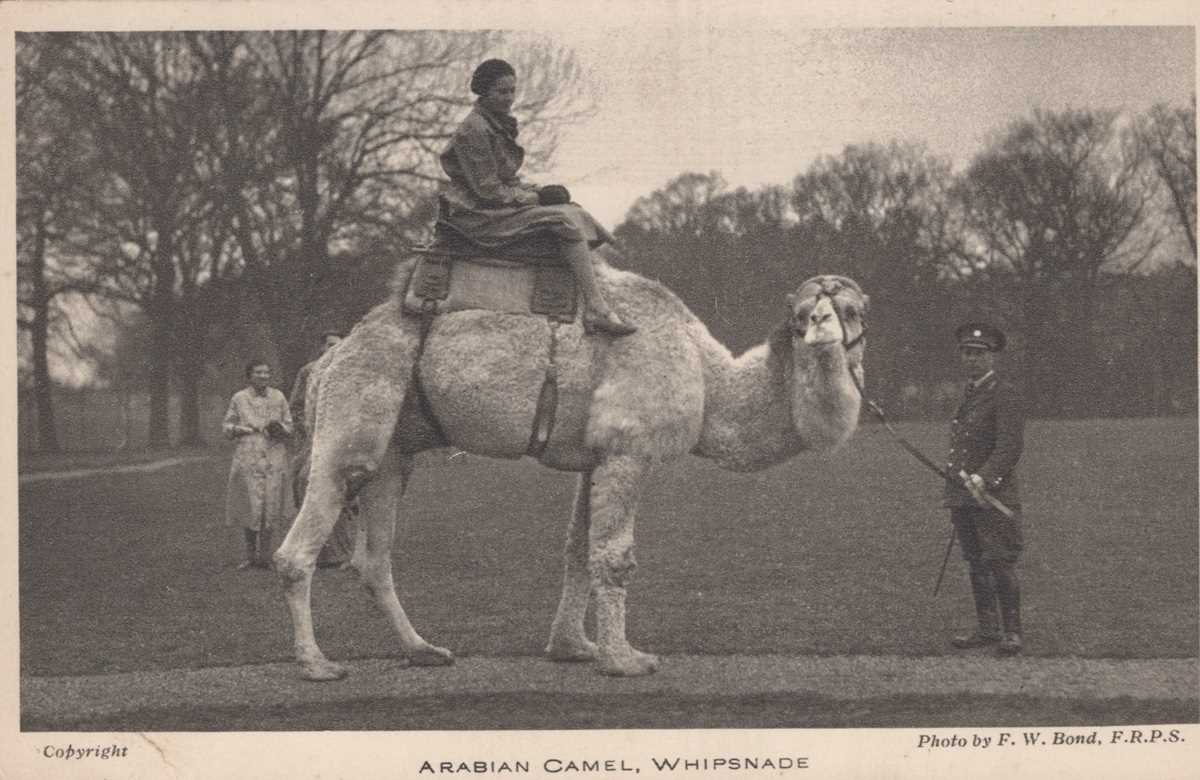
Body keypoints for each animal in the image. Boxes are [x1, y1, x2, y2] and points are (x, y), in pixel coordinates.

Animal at [276, 258, 868, 676]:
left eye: (853, 311)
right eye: (802, 314)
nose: (821, 330)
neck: (707, 375)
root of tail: (332, 357)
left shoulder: (595, 460)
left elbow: (578, 551)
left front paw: (573, 647)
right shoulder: (629, 453)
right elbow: (615, 557)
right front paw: (624, 660)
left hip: (393, 456)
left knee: (373, 560)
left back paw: (424, 650)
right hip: (351, 421)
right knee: (299, 546)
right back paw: (318, 666)